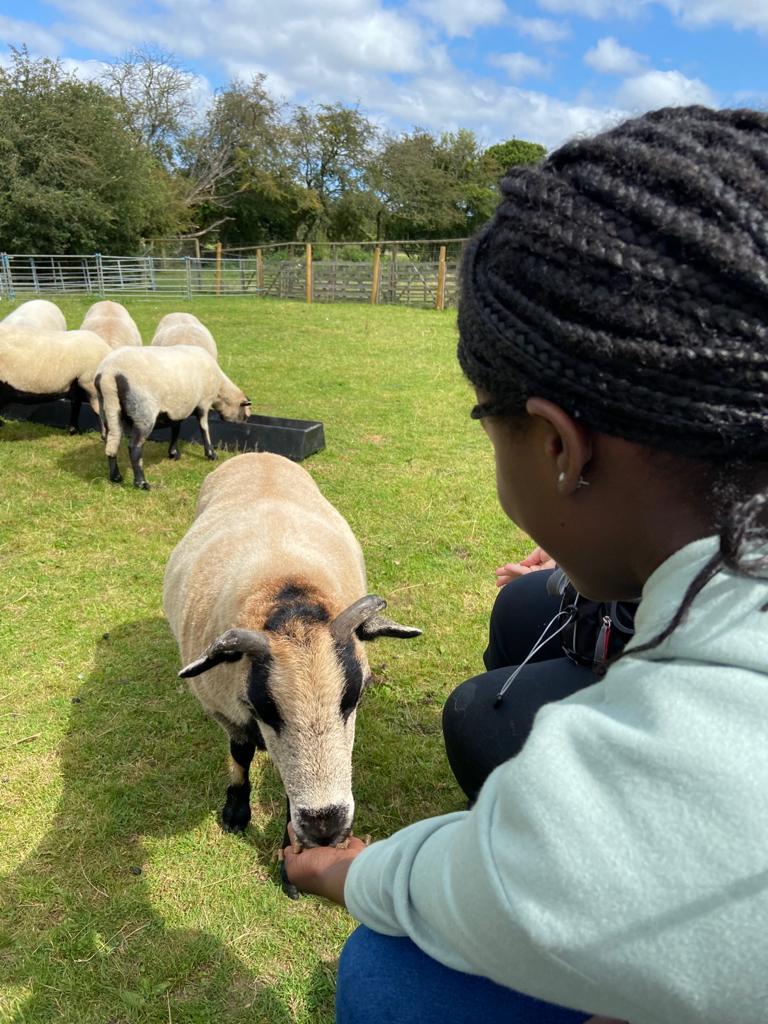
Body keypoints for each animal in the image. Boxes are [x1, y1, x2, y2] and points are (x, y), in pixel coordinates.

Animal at [92, 344, 249, 487]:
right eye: (245, 415)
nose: (243, 426)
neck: (220, 391)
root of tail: (109, 373)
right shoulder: (204, 403)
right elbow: (204, 428)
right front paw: (211, 454)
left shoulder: (177, 409)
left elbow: (176, 429)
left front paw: (173, 453)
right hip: (143, 412)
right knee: (134, 447)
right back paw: (141, 482)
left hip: (107, 408)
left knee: (111, 441)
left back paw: (115, 476)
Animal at [162, 454, 423, 847]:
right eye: (263, 709)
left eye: (356, 697)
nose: (325, 829)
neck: (286, 594)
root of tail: (257, 454)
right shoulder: (223, 710)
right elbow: (241, 752)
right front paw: (236, 810)